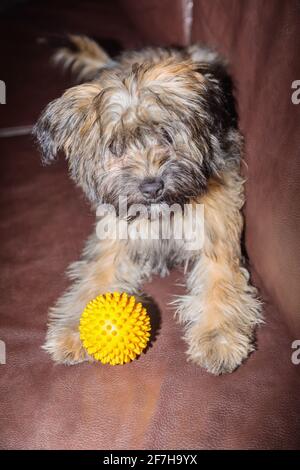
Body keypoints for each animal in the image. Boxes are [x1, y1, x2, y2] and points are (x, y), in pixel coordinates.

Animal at [34, 35, 262, 374]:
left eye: (166, 135)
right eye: (115, 147)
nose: (152, 186)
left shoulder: (216, 224)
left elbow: (219, 279)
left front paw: (217, 336)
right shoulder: (113, 235)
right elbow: (94, 278)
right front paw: (74, 329)